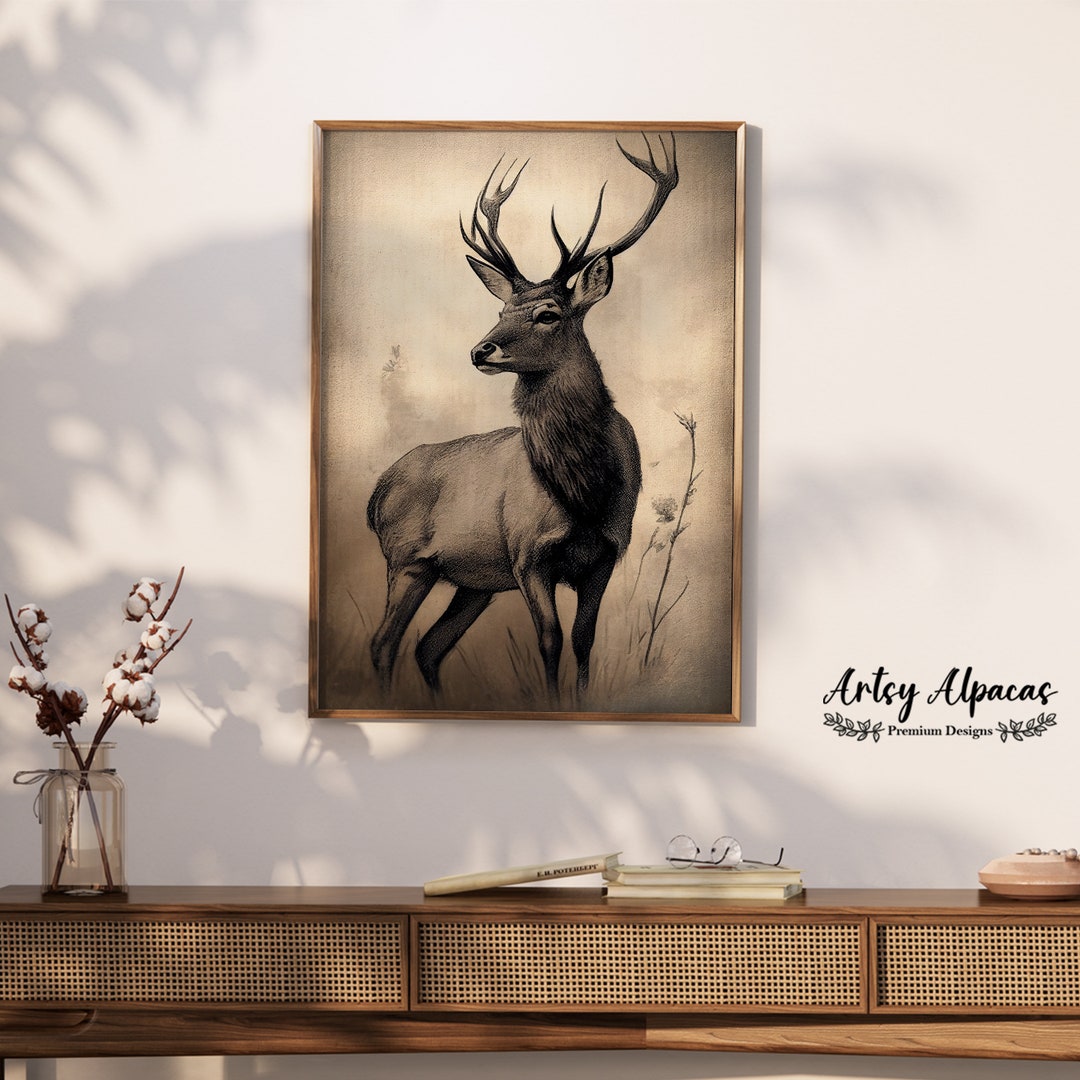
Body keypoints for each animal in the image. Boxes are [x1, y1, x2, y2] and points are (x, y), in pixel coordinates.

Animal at [366, 133, 678, 703]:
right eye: (500, 311)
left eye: (548, 313)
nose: (480, 350)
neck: (585, 492)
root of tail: (375, 496)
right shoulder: (527, 553)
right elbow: (550, 639)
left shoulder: (606, 553)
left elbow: (583, 638)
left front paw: (580, 701)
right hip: (407, 560)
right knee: (384, 643)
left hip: (471, 582)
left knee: (427, 647)